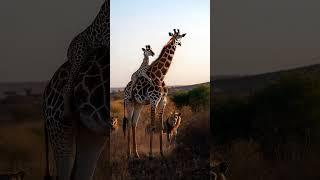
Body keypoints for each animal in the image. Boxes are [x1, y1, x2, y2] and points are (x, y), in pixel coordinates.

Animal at [123, 28, 188, 158]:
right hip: (129, 102)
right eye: (177, 37)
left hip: (138, 104)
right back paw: (128, 154)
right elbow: (153, 127)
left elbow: (161, 127)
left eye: (181, 36)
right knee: (128, 122)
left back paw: (136, 153)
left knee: (134, 123)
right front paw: (151, 154)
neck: (161, 76)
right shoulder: (154, 101)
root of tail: (124, 89)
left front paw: (162, 153)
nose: (179, 43)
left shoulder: (163, 101)